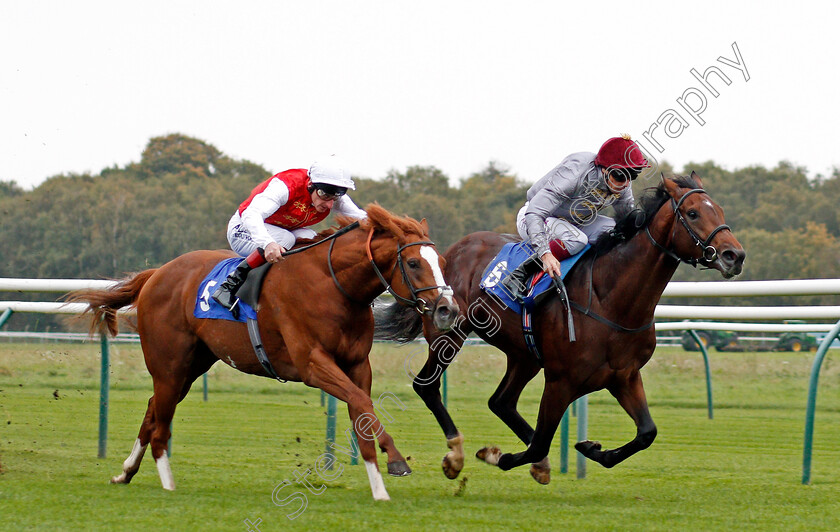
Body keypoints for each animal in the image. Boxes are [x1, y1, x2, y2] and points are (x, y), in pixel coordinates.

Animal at [65, 204, 460, 498]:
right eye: (413, 263)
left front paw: (379, 488)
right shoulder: (313, 364)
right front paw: (396, 460)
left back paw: (125, 472)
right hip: (169, 364)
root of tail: (156, 274)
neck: (333, 286)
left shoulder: (357, 365)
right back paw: (167, 482)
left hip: (192, 365)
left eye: (441, 261)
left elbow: (362, 414)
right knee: (160, 422)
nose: (448, 309)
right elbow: (363, 404)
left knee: (152, 410)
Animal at [378, 174, 744, 482]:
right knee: (427, 386)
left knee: (501, 402)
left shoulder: (624, 376)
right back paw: (455, 456)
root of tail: (449, 251)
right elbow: (541, 441)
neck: (610, 300)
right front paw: (500, 456)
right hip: (449, 332)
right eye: (693, 214)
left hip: (524, 354)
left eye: (719, 210)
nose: (734, 255)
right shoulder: (561, 380)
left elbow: (646, 433)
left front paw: (591, 448)